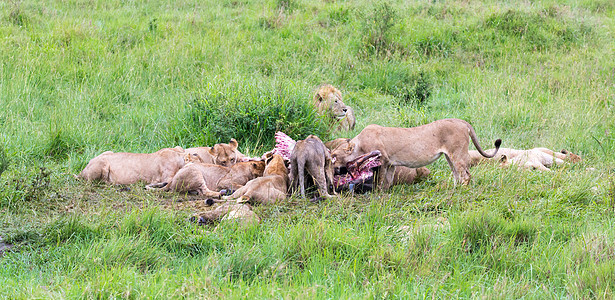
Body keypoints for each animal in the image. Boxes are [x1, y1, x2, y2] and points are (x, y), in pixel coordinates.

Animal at [332, 118, 500, 189]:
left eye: (333, 157)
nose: (331, 168)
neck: (359, 144)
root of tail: (461, 121)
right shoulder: (391, 164)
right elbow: (387, 181)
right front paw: (385, 194)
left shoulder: (383, 160)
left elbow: (379, 180)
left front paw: (377, 195)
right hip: (449, 156)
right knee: (456, 173)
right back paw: (454, 190)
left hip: (457, 153)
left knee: (466, 174)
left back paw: (462, 191)